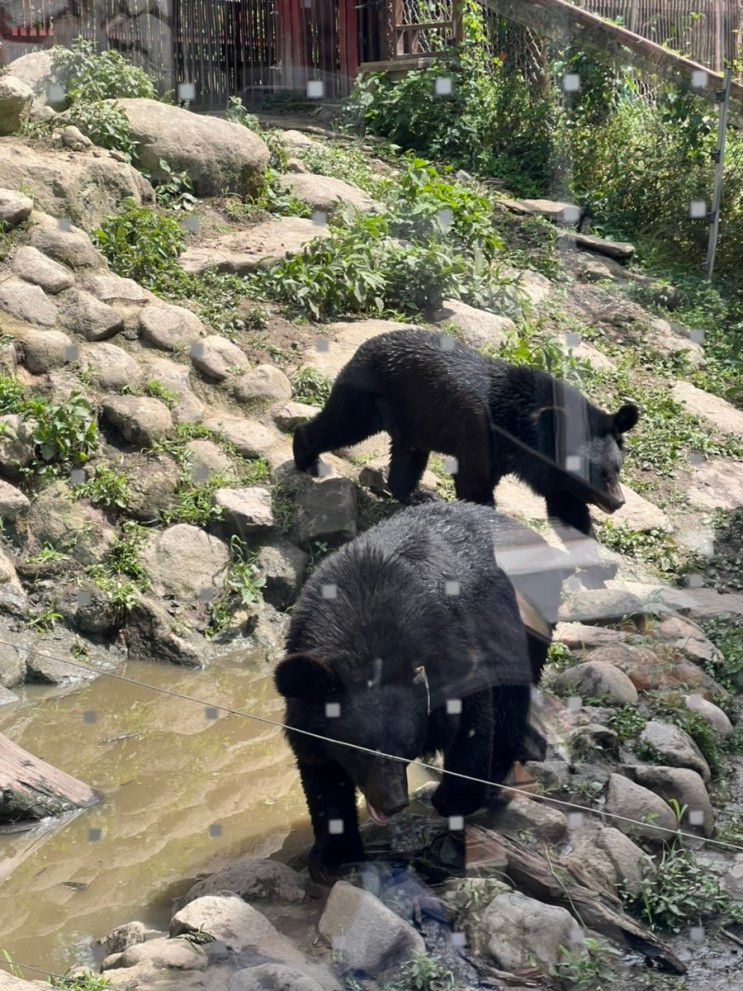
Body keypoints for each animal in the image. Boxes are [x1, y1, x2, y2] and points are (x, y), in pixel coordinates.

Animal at [274, 500, 536, 880]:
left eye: (406, 747)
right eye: (356, 749)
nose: (393, 802)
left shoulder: (451, 644)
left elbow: (471, 723)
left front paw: (451, 801)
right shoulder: (307, 707)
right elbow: (320, 771)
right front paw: (334, 856)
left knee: (511, 704)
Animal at [292, 330, 640, 540]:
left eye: (617, 469)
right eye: (602, 473)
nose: (619, 502)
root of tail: (364, 346)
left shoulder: (541, 468)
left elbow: (565, 504)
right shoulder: (480, 434)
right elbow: (474, 481)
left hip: (413, 417)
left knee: (407, 457)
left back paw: (418, 495)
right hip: (371, 396)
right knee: (342, 424)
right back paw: (306, 457)